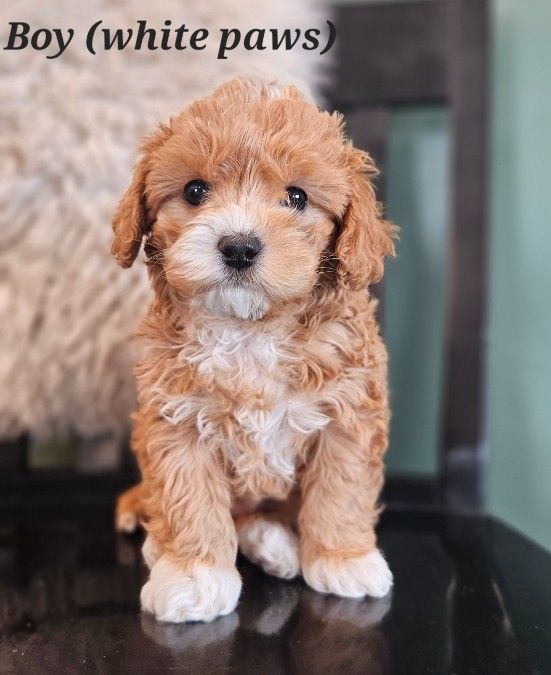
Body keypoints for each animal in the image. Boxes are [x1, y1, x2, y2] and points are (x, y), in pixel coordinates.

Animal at [112, 78, 396, 624]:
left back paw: (276, 546)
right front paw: (193, 577)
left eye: (296, 197)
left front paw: (343, 559)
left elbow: (342, 488)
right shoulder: (176, 419)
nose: (239, 247)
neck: (249, 330)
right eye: (195, 191)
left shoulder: (348, 412)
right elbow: (188, 498)